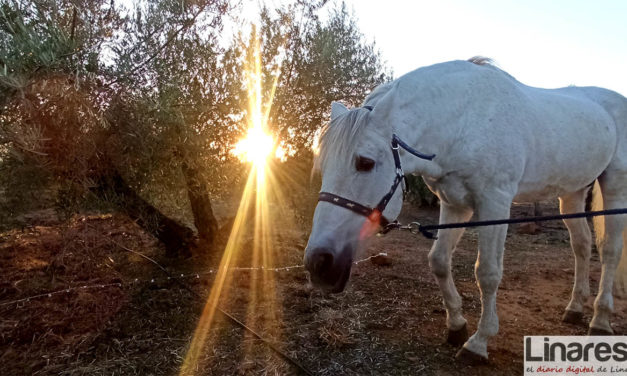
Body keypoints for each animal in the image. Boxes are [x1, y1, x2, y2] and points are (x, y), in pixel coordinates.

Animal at [306, 58, 627, 362]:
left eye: (365, 162)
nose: (318, 264)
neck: (464, 122)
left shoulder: (495, 203)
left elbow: (487, 273)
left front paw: (478, 342)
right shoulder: (455, 204)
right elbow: (439, 261)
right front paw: (457, 326)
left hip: (614, 189)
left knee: (609, 251)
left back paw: (600, 319)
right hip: (572, 193)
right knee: (582, 245)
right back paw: (574, 308)